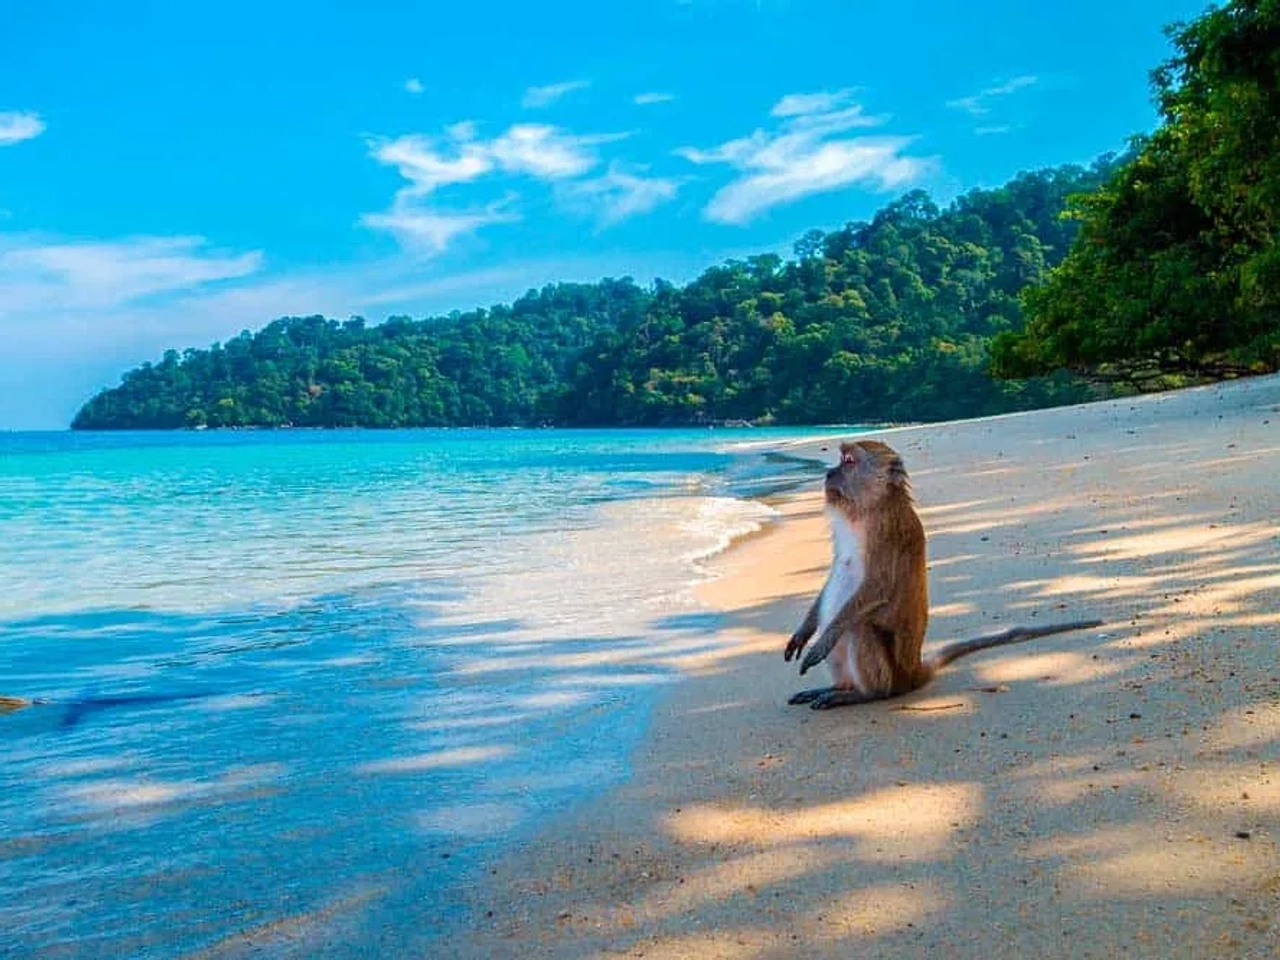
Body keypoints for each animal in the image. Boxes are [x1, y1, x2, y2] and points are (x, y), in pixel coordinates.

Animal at [783, 439, 1103, 710]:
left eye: (848, 461)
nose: (828, 474)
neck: (867, 508)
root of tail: (913, 673)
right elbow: (836, 570)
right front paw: (804, 632)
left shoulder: (885, 532)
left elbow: (878, 587)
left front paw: (823, 640)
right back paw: (838, 688)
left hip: (892, 676)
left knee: (859, 627)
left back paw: (863, 694)